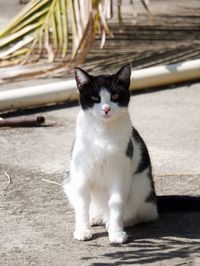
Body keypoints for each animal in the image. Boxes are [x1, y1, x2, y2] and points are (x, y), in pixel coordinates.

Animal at [64, 64, 200, 243]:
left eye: (114, 95)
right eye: (94, 97)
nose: (106, 108)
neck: (103, 132)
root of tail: (155, 198)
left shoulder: (120, 172)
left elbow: (116, 203)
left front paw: (116, 233)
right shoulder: (81, 172)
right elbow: (82, 203)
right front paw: (82, 230)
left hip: (140, 184)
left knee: (146, 214)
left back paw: (120, 221)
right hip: (68, 179)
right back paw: (95, 217)